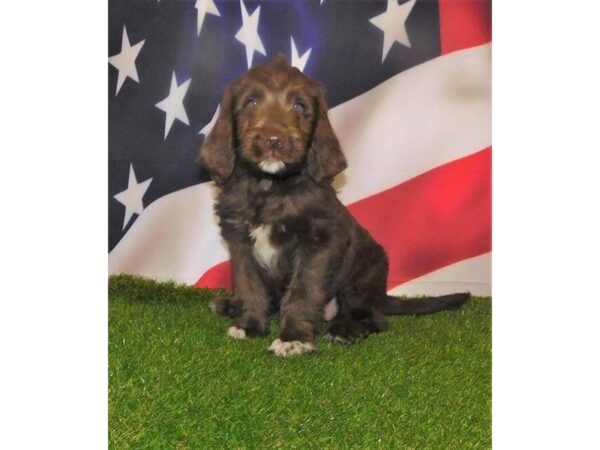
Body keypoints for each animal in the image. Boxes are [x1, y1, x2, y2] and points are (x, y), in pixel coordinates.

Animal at [197, 54, 468, 356]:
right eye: (251, 102)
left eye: (300, 106)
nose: (274, 140)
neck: (271, 188)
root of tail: (381, 297)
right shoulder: (239, 240)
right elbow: (248, 284)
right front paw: (249, 325)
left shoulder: (318, 241)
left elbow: (302, 290)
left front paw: (293, 338)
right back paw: (229, 305)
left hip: (365, 273)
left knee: (374, 318)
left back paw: (346, 330)